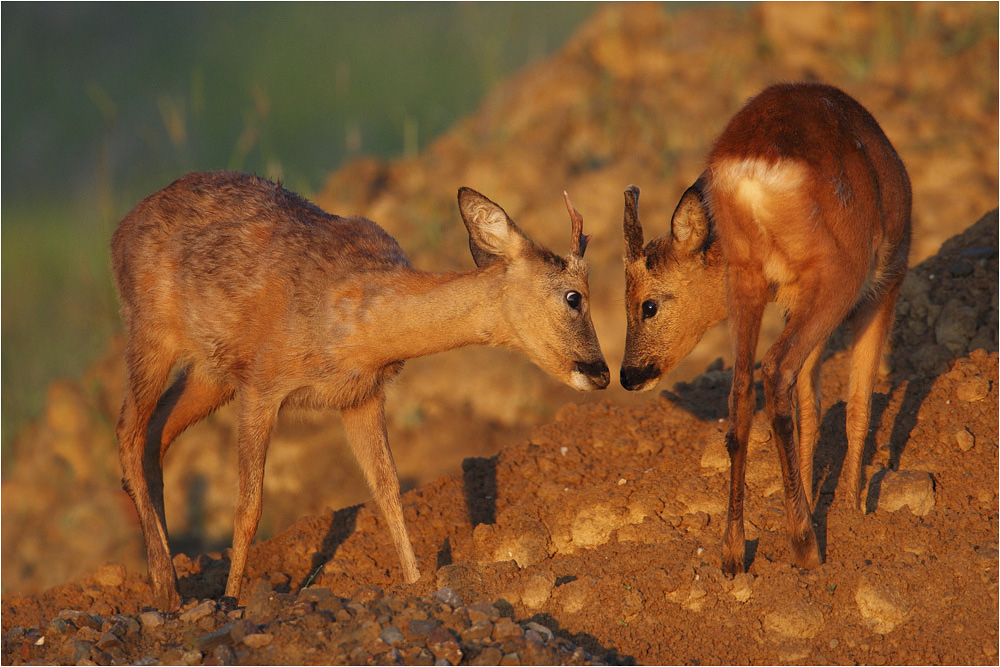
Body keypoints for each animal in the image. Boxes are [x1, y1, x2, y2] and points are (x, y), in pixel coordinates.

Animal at [111, 172, 608, 612]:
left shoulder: (361, 397)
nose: (602, 372)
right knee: (128, 431)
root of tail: (120, 230)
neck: (361, 328)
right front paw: (232, 599)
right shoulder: (260, 385)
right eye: (574, 297)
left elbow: (388, 491)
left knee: (155, 434)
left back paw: (165, 576)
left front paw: (415, 584)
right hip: (151, 329)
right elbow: (249, 506)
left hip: (209, 373)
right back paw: (168, 590)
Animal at [620, 82, 912, 576]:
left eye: (648, 305)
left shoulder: (794, 301)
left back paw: (734, 552)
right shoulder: (885, 281)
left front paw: (815, 499)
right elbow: (857, 403)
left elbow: (811, 407)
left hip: (747, 278)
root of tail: (753, 173)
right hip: (838, 273)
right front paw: (854, 510)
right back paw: (805, 546)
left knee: (742, 392)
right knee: (776, 369)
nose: (627, 374)